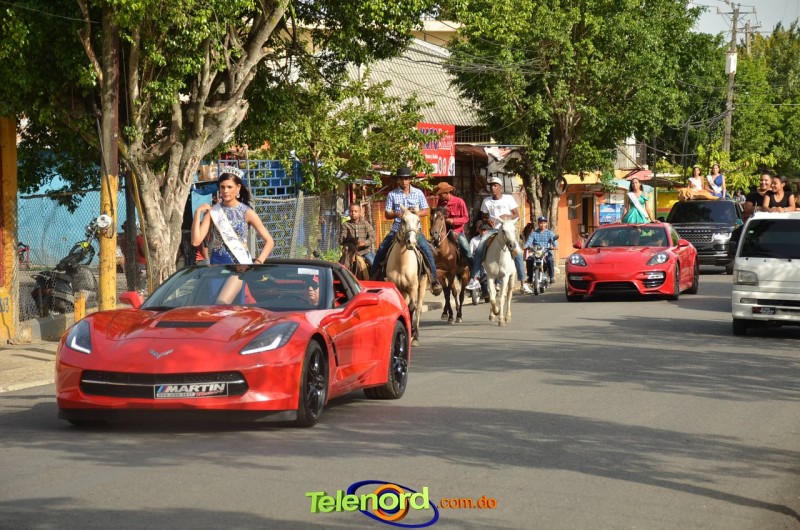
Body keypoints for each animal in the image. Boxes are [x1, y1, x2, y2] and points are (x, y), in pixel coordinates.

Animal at [385, 206, 427, 345]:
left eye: (418, 221)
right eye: (403, 220)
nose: (411, 242)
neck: (402, 263)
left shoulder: (413, 287)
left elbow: (412, 307)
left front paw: (413, 333)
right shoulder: (396, 287)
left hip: (422, 284)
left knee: (418, 308)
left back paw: (416, 336)